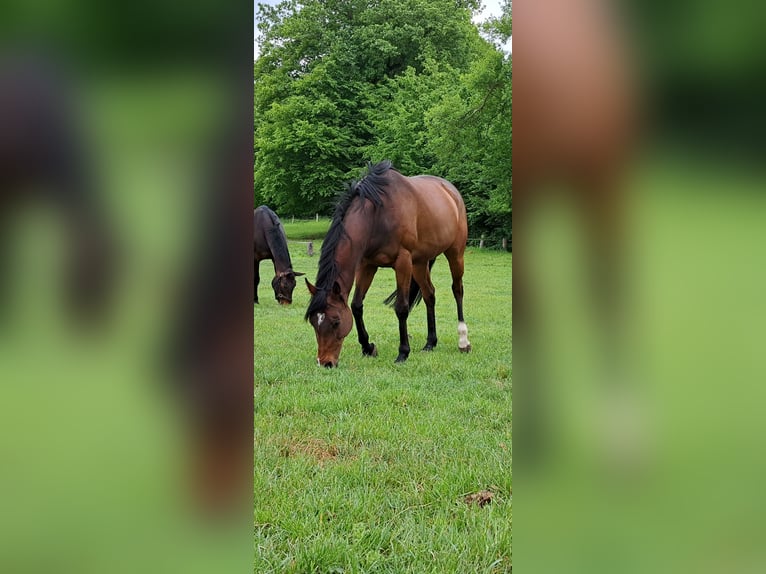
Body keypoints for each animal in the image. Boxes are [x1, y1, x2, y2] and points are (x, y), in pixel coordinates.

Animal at [304, 160, 471, 368]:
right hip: (420, 262)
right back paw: (430, 343)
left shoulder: (403, 263)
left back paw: (463, 341)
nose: (325, 362)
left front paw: (403, 352)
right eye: (313, 322)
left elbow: (401, 308)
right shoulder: (367, 265)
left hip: (455, 253)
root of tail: (451, 190)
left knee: (458, 290)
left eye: (336, 322)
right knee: (429, 295)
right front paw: (368, 347)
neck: (378, 215)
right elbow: (356, 305)